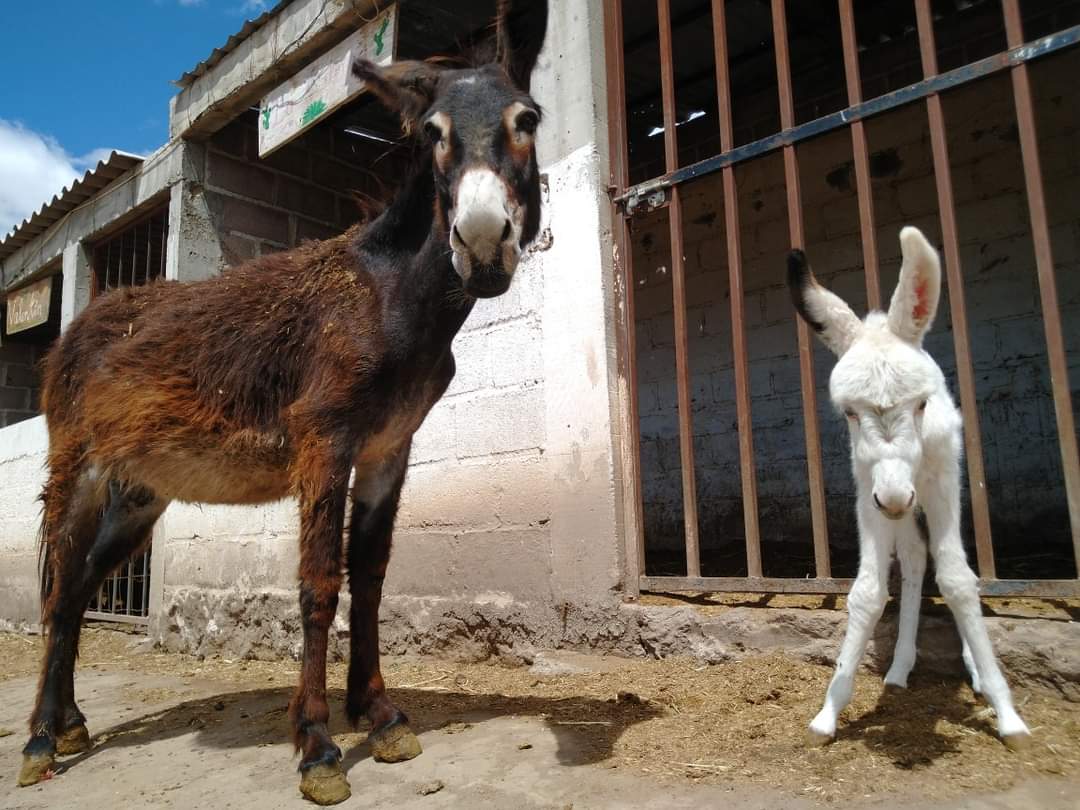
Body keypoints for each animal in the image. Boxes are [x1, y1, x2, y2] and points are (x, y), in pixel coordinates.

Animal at [790, 225, 1032, 751]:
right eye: (849, 412)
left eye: (921, 404)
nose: (898, 498)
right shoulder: (869, 493)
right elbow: (868, 591)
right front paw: (828, 713)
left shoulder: (939, 484)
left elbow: (959, 580)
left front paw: (1008, 715)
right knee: (917, 561)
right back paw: (900, 669)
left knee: (946, 564)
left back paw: (973, 670)